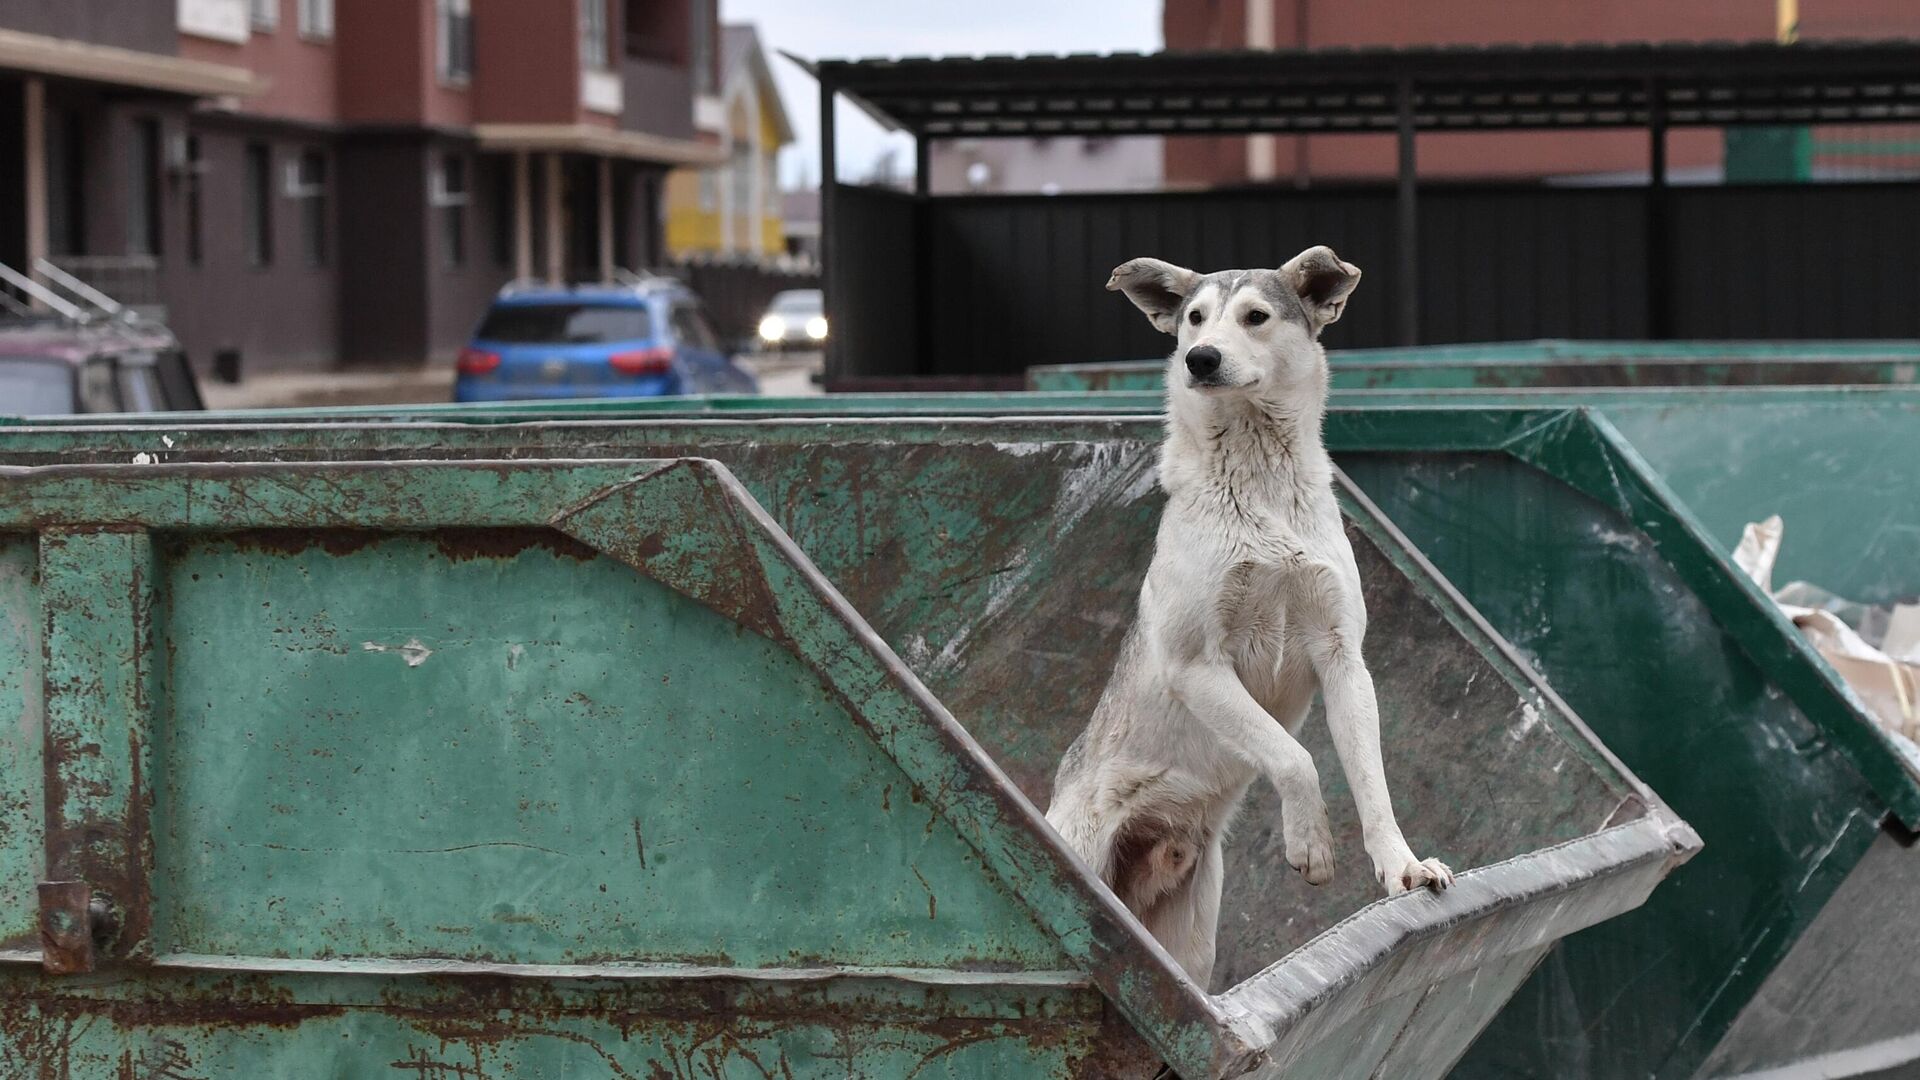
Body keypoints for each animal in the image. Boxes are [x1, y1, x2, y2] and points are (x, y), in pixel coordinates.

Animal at [1052, 245, 1451, 983]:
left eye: (1256, 317)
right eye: (1194, 318)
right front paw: (1311, 844)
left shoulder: (1343, 659)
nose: (1200, 358)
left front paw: (1402, 867)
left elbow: (1370, 781)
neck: (1260, 482)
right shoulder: (1197, 666)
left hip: (1191, 932)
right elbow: (1295, 758)